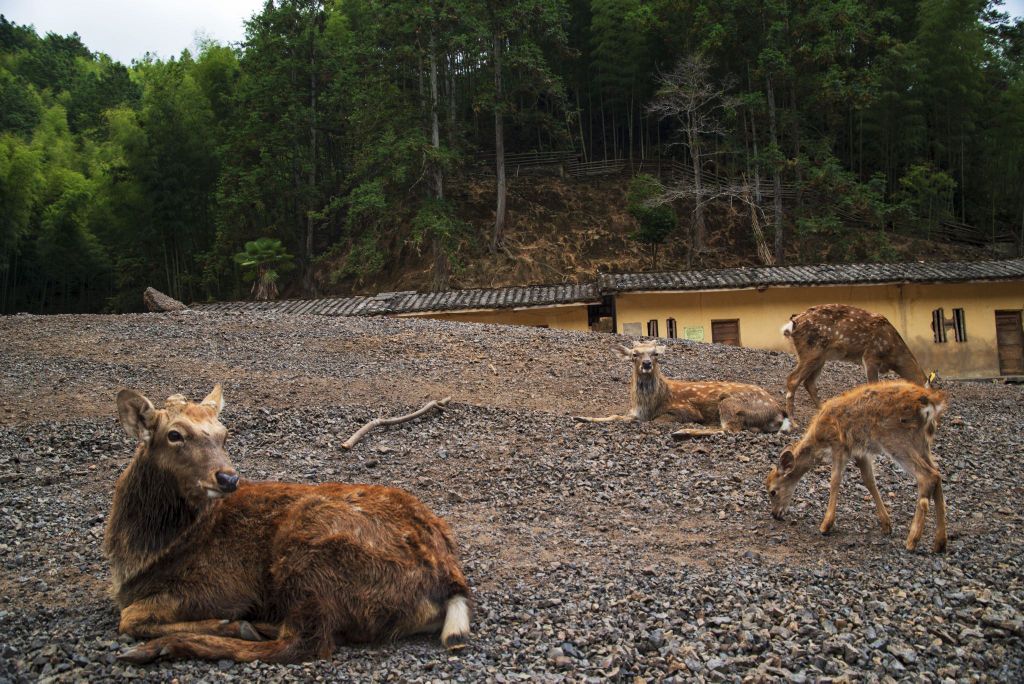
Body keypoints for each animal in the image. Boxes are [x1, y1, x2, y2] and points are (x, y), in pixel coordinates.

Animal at [103, 387, 471, 663]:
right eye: (174, 435)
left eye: (224, 435)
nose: (228, 478)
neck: (139, 555)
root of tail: (450, 582)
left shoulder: (222, 584)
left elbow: (129, 617)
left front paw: (225, 624)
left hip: (311, 554)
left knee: (303, 644)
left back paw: (165, 647)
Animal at [577, 339, 790, 438]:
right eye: (634, 354)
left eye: (655, 354)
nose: (646, 363)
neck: (647, 405)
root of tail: (780, 412)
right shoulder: (633, 412)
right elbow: (615, 416)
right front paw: (581, 417)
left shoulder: (686, 410)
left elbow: (655, 421)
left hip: (731, 403)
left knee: (730, 429)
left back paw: (684, 431)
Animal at [765, 382, 946, 552]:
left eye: (773, 491)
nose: (775, 514)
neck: (819, 439)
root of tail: (929, 403)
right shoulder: (861, 452)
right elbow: (869, 481)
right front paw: (886, 524)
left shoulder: (840, 445)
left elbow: (835, 481)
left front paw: (826, 525)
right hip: (921, 441)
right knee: (937, 474)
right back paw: (939, 543)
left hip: (896, 438)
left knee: (927, 476)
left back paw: (912, 541)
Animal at [782, 301, 929, 419]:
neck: (893, 354)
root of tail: (792, 324)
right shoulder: (871, 355)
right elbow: (872, 385)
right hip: (811, 351)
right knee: (793, 379)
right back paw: (792, 419)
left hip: (820, 357)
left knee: (809, 382)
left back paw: (823, 409)